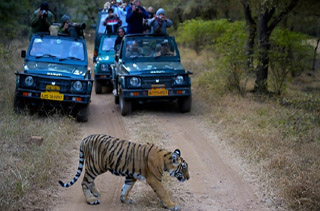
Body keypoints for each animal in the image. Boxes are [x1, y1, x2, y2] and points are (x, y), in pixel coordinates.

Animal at [58, 134, 190, 210]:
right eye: (184, 168)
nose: (188, 178)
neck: (165, 159)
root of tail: (85, 139)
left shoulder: (131, 176)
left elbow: (127, 187)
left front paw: (124, 199)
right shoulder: (154, 179)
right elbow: (163, 192)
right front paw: (172, 205)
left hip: (95, 168)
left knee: (90, 181)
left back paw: (96, 193)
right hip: (95, 166)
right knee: (85, 182)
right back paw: (91, 199)